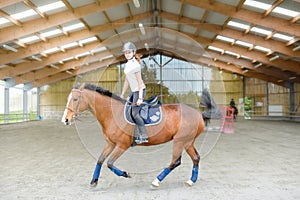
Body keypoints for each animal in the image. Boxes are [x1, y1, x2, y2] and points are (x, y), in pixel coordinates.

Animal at [61, 82, 220, 188]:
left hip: (180, 141)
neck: (113, 114)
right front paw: (94, 181)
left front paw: (125, 174)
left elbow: (110, 163)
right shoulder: (110, 143)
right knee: (195, 158)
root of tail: (199, 114)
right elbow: (100, 160)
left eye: (75, 99)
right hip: (188, 142)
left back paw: (156, 181)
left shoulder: (122, 145)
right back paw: (191, 180)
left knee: (176, 161)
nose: (65, 120)